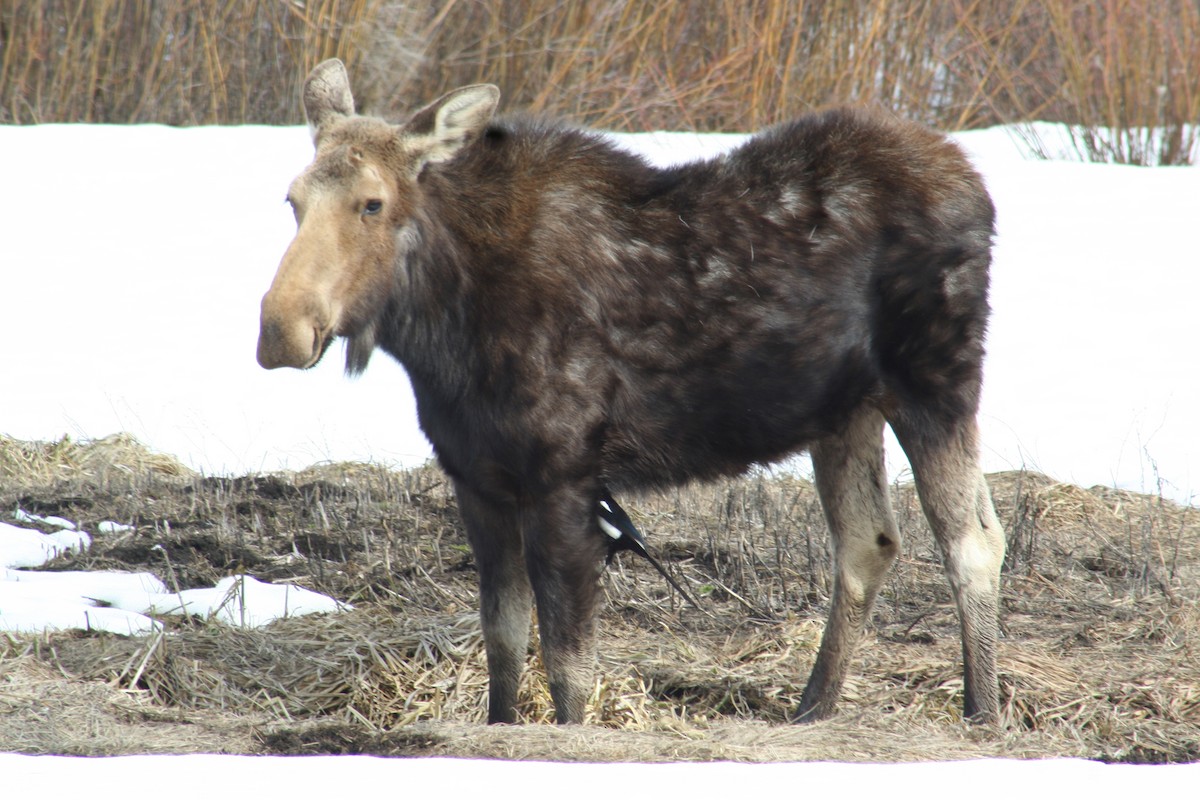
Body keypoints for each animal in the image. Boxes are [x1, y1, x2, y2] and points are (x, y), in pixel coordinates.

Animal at [258, 59, 1008, 729]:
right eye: (291, 201)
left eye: (372, 201)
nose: (280, 330)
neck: (441, 328)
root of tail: (975, 184)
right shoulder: (478, 480)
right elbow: (503, 642)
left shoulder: (564, 480)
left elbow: (568, 668)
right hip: (845, 413)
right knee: (867, 543)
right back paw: (811, 709)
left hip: (937, 381)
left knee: (973, 541)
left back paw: (983, 713)